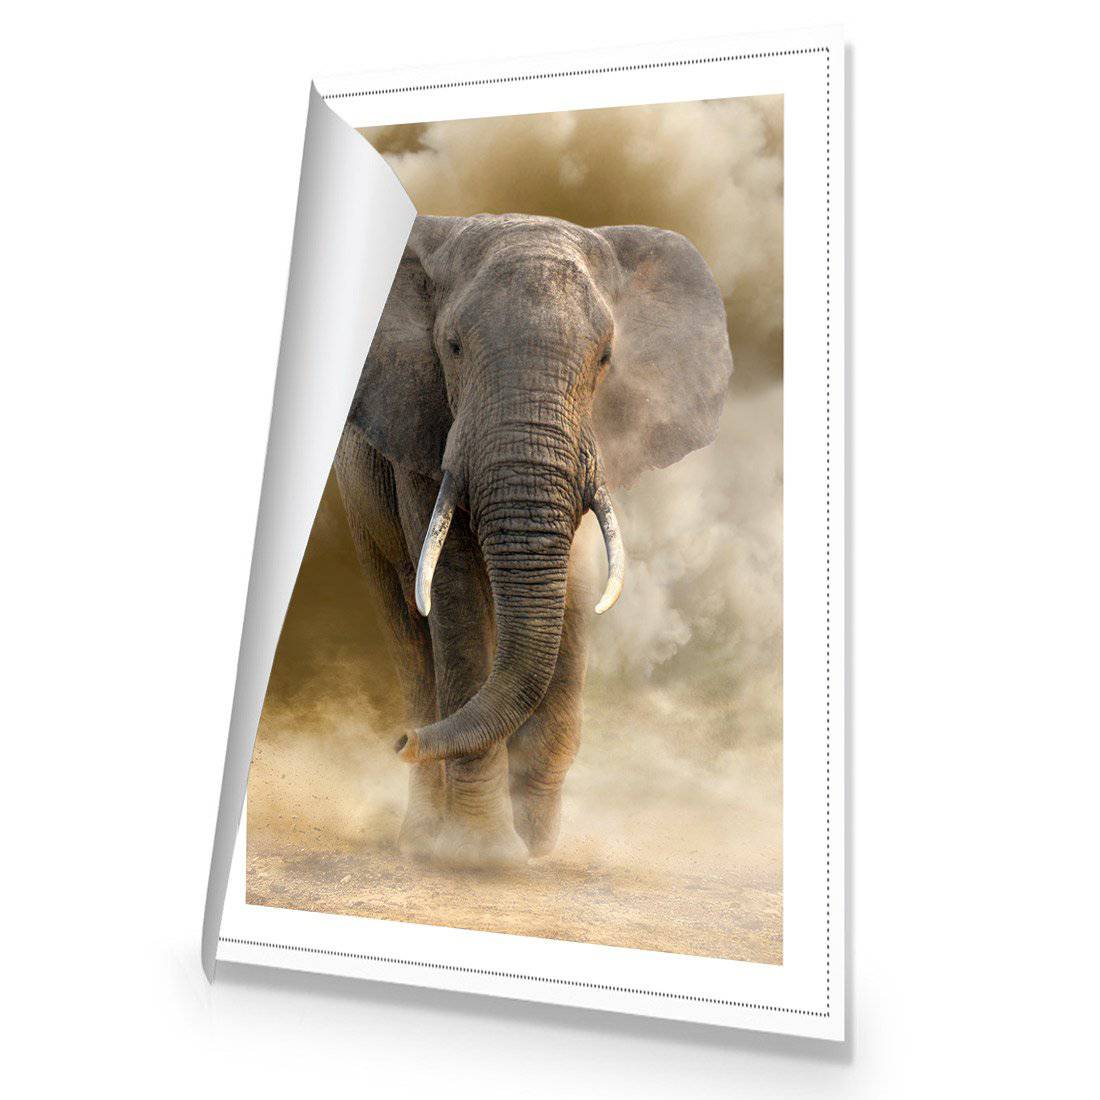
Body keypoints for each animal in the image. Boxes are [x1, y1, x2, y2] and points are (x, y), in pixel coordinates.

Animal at [334, 212, 733, 868]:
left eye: (606, 358)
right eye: (452, 348)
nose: (401, 742)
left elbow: (574, 591)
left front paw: (536, 845)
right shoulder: (422, 432)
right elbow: (454, 595)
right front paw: (482, 855)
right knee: (409, 631)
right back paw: (422, 835)